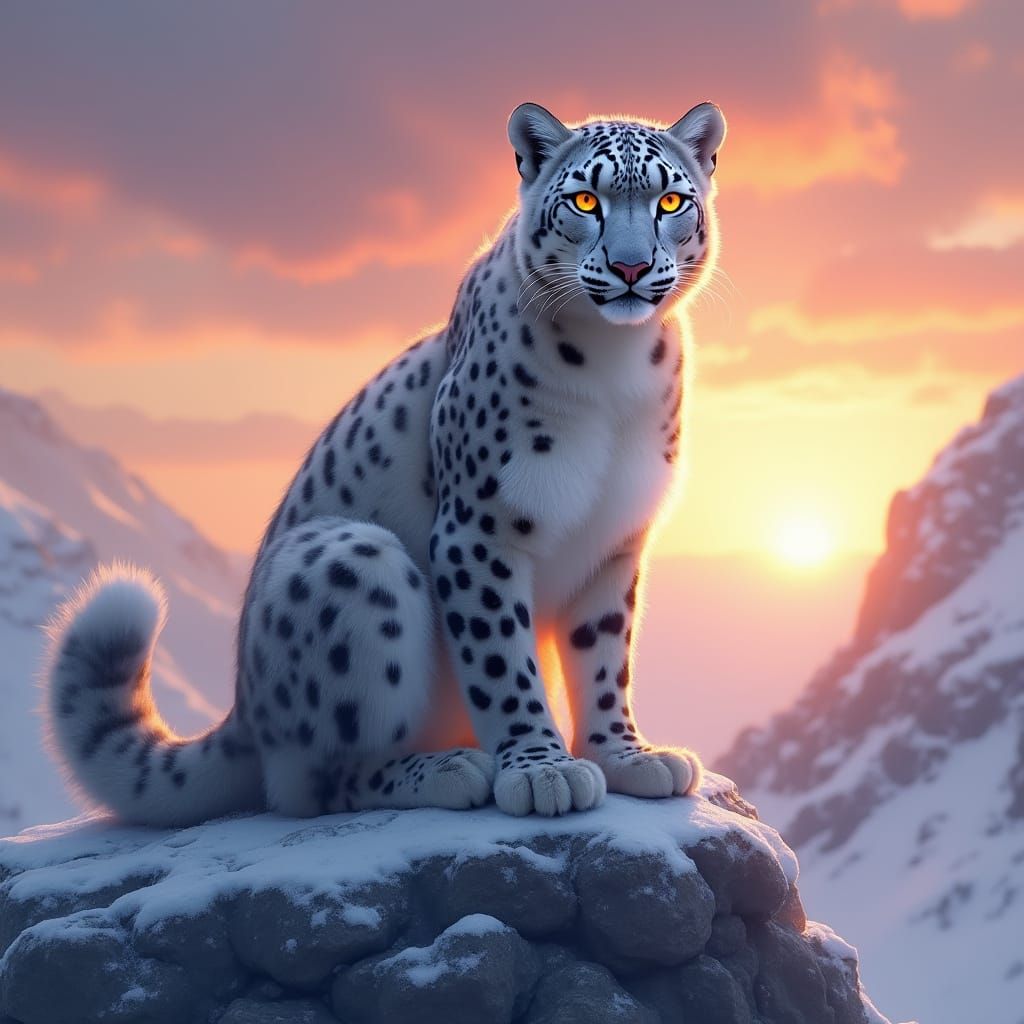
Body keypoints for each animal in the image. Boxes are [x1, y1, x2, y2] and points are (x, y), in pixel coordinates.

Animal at [45, 101, 726, 825]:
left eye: (671, 200)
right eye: (585, 199)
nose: (630, 268)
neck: (614, 372)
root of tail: (243, 704)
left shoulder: (614, 542)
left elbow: (603, 659)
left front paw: (626, 756)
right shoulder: (479, 527)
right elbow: (502, 661)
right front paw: (542, 771)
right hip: (352, 562)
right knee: (312, 783)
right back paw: (447, 770)